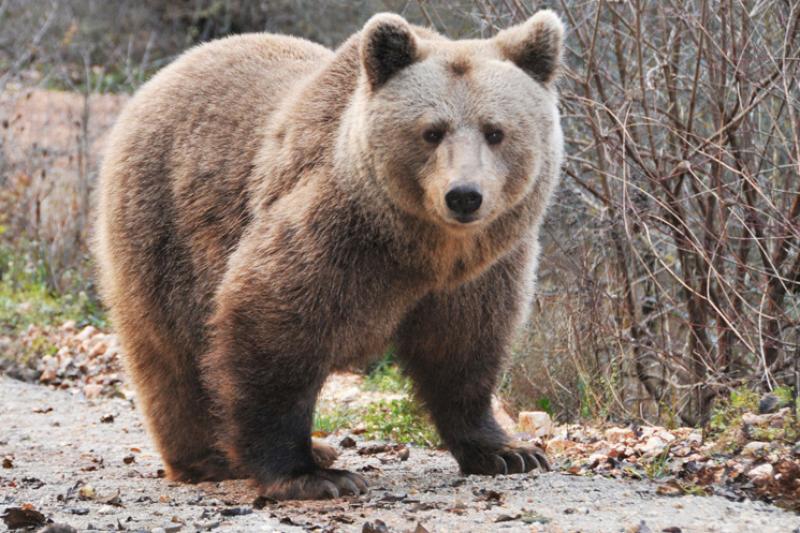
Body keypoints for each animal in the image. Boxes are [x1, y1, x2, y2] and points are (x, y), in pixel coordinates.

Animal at [95, 9, 564, 498]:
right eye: (432, 131)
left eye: (496, 131)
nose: (464, 196)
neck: (423, 250)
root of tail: (161, 77)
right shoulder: (335, 236)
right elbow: (272, 329)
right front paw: (310, 476)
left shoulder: (481, 273)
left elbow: (464, 350)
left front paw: (509, 452)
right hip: (161, 229)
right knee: (170, 355)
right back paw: (214, 457)